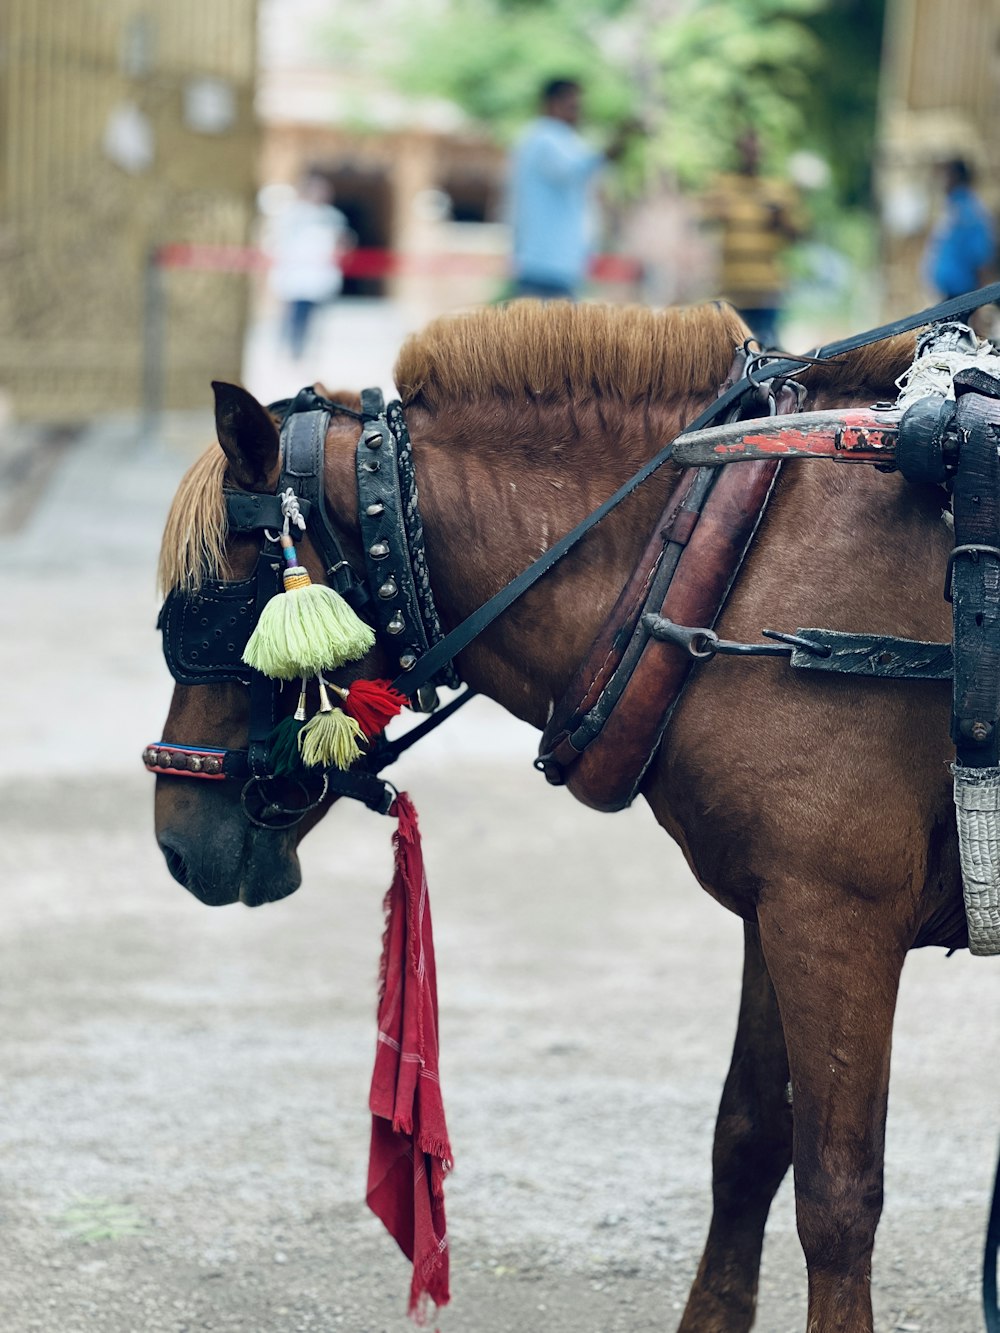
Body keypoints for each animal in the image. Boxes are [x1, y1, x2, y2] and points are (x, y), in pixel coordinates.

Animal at [154, 302, 970, 1333]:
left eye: (215, 605)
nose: (177, 839)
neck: (741, 543)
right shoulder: (778, 908)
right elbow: (748, 1142)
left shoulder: (837, 919)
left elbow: (836, 1195)